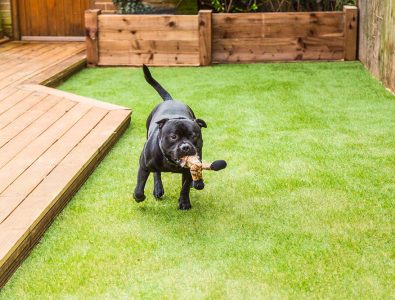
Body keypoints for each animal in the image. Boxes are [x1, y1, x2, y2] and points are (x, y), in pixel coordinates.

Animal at [133, 66, 207, 211]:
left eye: (193, 135)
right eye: (173, 137)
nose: (185, 147)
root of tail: (169, 100)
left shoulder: (188, 169)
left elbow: (185, 187)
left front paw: (184, 202)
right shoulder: (143, 165)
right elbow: (139, 185)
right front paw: (139, 197)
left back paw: (198, 182)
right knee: (156, 173)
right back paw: (158, 189)